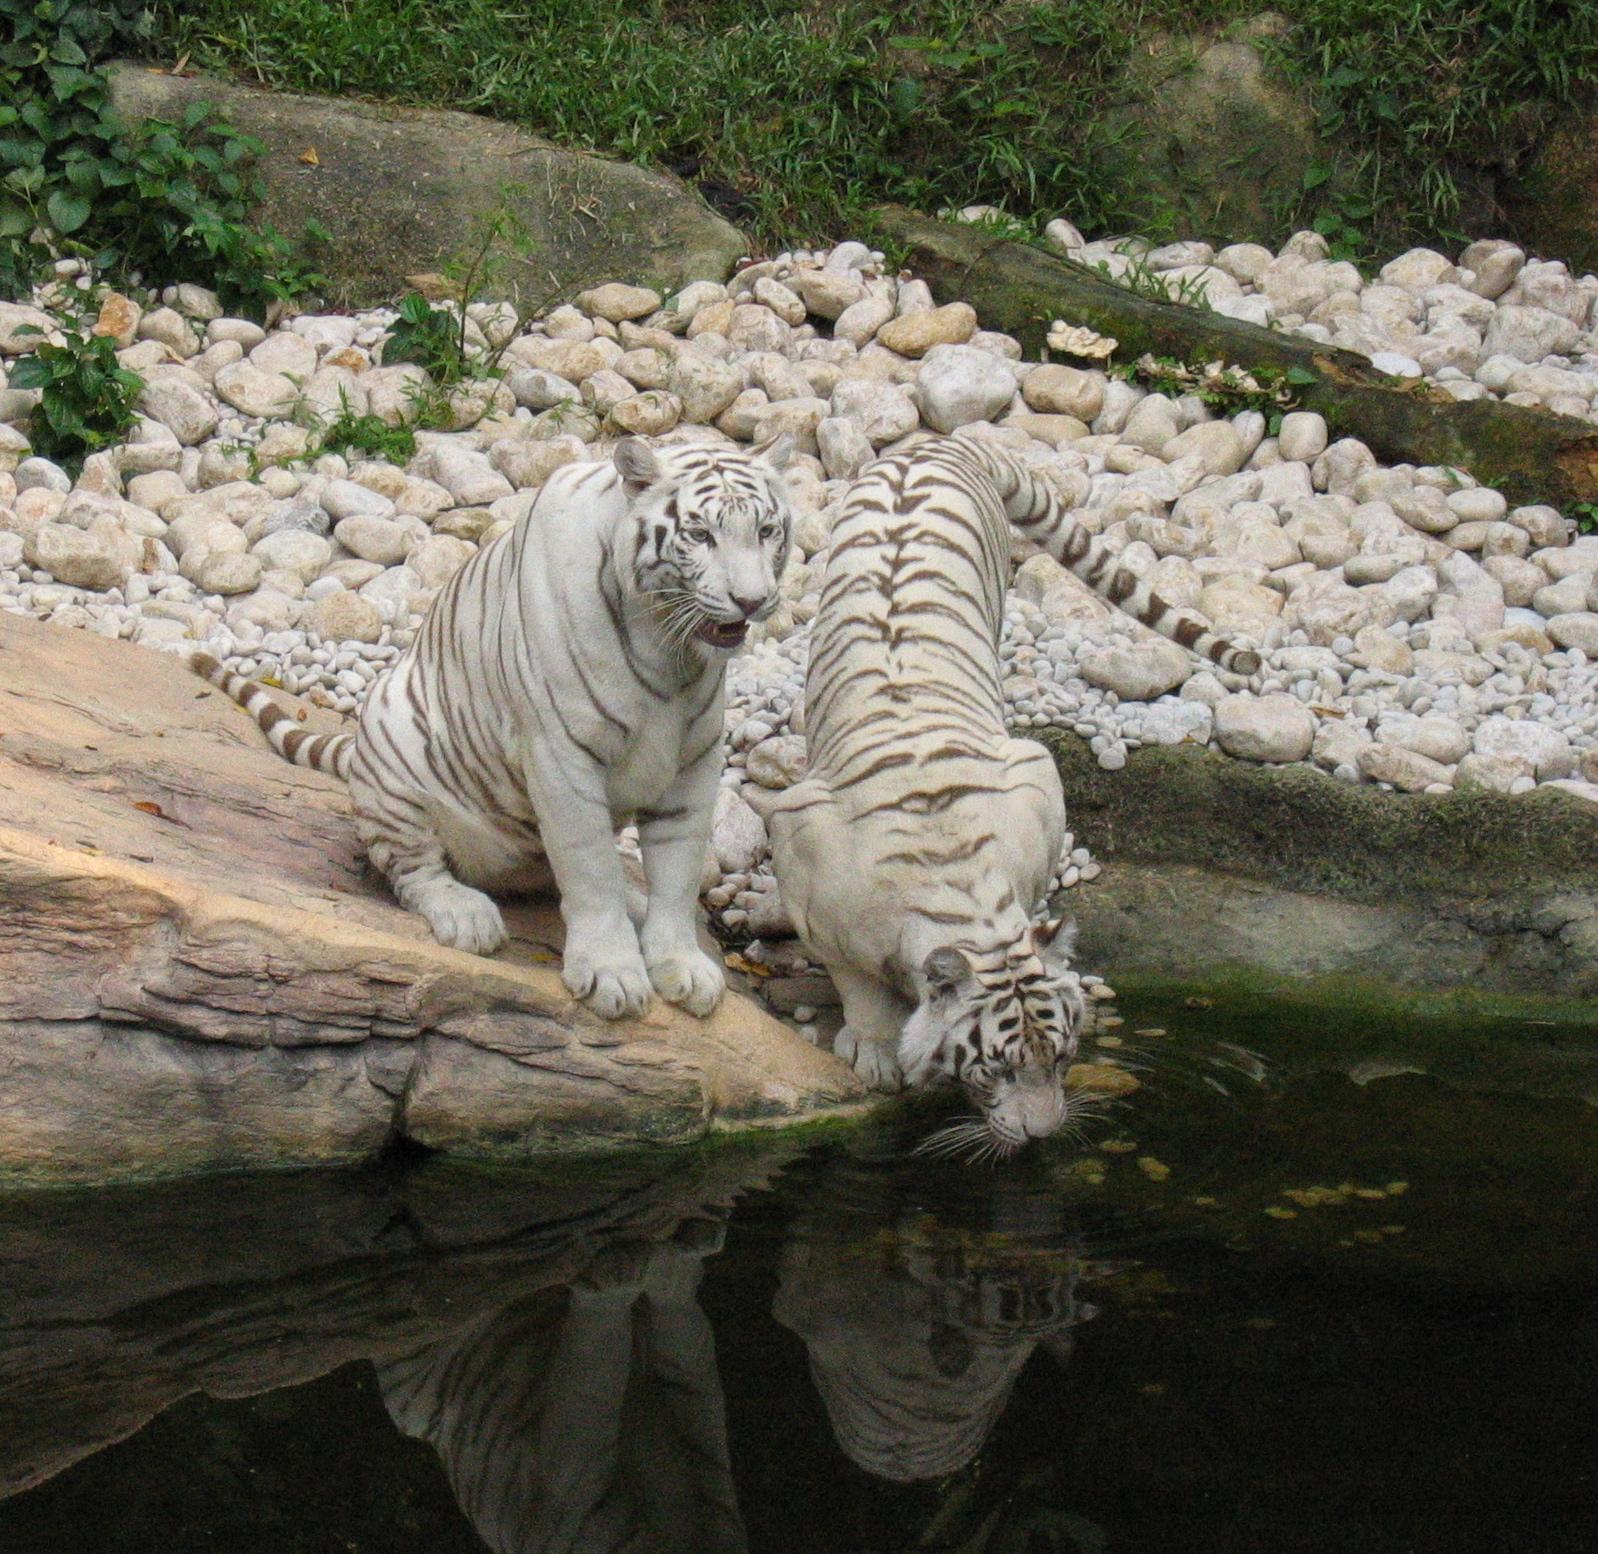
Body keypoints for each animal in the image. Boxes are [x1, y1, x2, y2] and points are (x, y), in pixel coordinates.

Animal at [193, 434, 792, 1016]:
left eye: (766, 531)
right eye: (700, 534)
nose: (752, 601)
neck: (670, 648)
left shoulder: (694, 761)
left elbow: (678, 872)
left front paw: (680, 965)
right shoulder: (563, 755)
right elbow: (590, 868)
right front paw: (612, 974)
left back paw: (633, 903)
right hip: (394, 743)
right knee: (414, 872)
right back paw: (468, 917)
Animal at [763, 431, 1259, 1144]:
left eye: (1064, 1056)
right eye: (995, 1069)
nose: (1044, 1135)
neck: (959, 889)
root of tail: (939, 441)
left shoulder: (1034, 777)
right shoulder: (803, 857)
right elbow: (857, 984)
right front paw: (876, 1050)